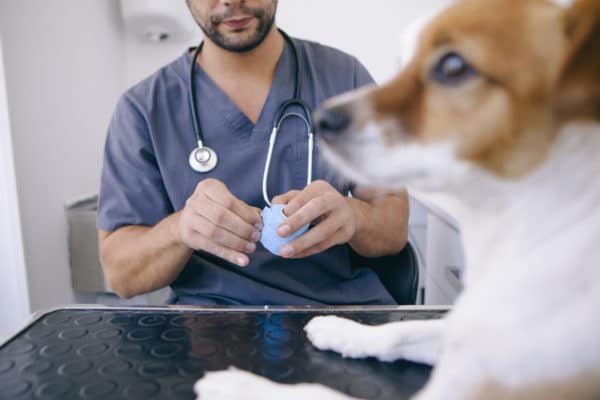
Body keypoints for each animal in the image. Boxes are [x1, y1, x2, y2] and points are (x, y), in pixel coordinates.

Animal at [196, 0, 600, 398]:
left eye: (453, 67)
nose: (325, 118)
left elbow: (314, 391)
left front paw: (240, 384)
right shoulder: (449, 331)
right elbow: (400, 331)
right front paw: (339, 329)